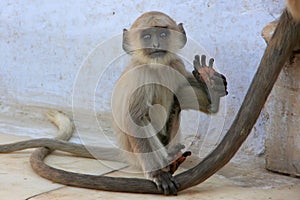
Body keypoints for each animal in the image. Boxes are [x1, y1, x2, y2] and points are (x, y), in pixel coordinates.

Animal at [112, 11, 227, 195]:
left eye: (163, 34)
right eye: (147, 36)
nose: (156, 44)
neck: (157, 67)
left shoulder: (176, 64)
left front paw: (212, 84)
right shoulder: (141, 75)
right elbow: (135, 118)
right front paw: (157, 174)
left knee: (178, 96)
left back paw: (211, 92)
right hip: (135, 154)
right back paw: (168, 163)